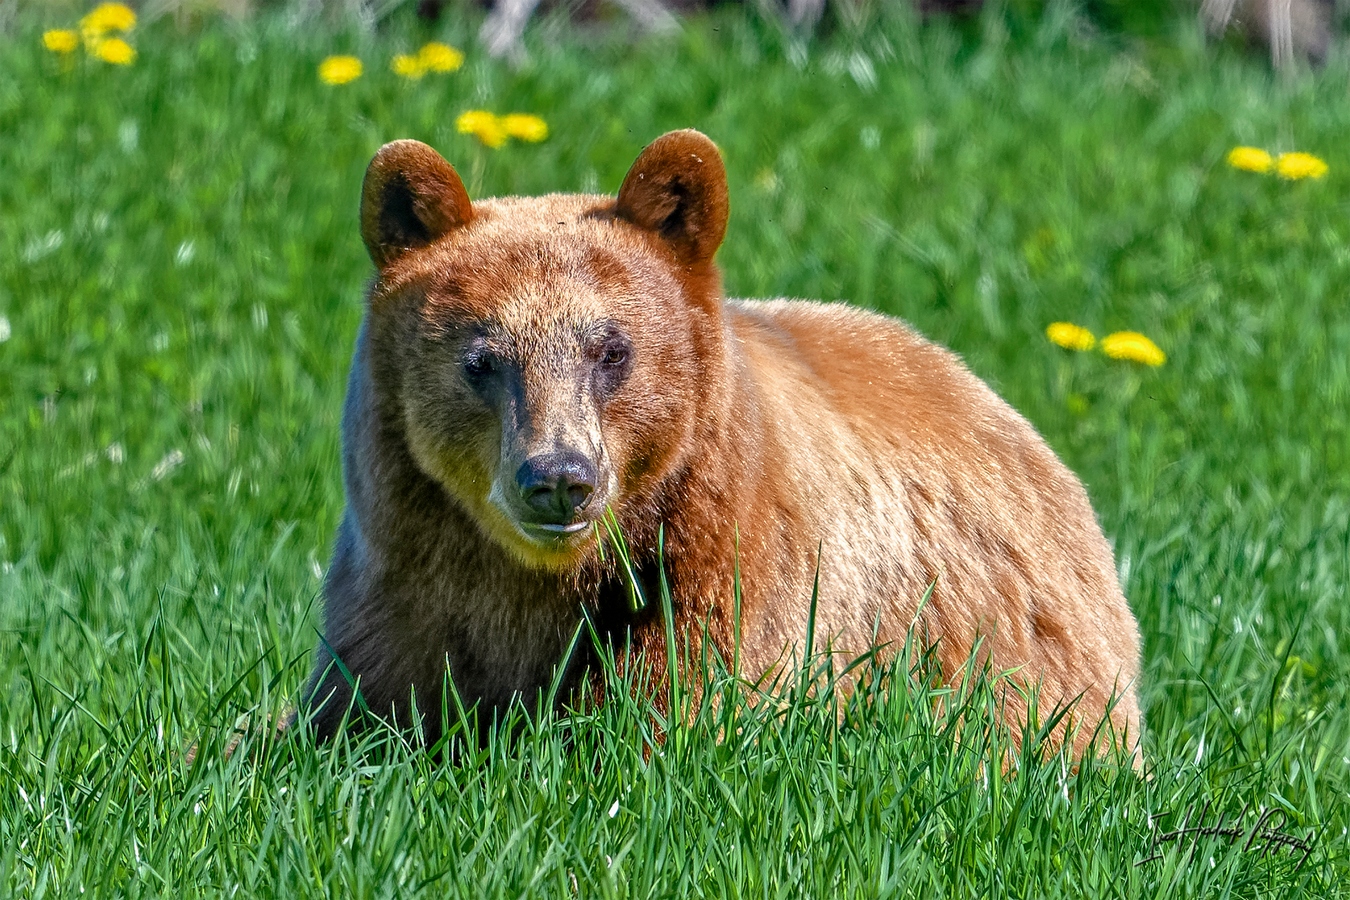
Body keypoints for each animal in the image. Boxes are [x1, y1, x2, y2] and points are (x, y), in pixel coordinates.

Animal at [303, 128, 1139, 761]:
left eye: (612, 350)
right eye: (483, 359)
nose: (559, 477)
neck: (537, 578)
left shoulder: (725, 566)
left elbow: (679, 703)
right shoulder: (405, 580)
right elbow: (353, 709)